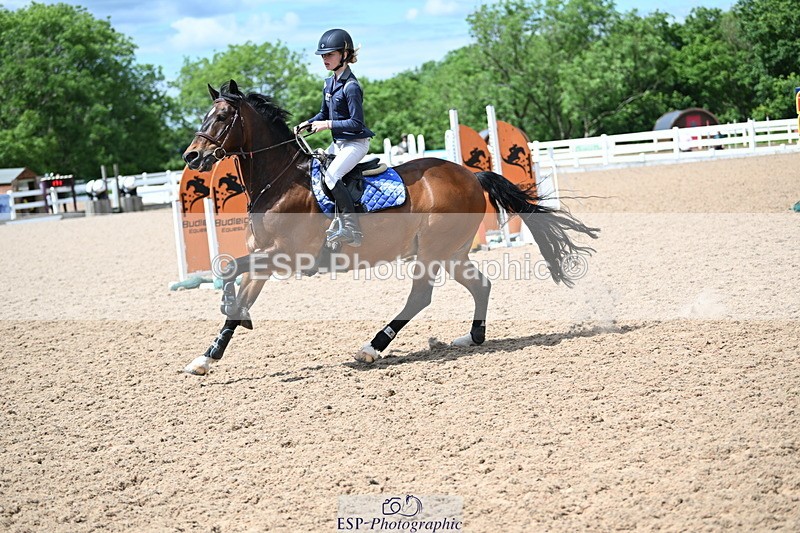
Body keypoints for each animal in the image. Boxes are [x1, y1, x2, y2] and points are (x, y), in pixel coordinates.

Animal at [181, 80, 599, 375]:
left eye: (221, 117)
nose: (192, 157)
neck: (278, 182)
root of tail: (470, 175)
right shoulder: (263, 258)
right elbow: (238, 291)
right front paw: (207, 357)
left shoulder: (286, 256)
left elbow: (227, 269)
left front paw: (227, 312)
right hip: (451, 253)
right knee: (481, 285)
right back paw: (472, 337)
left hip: (432, 251)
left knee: (420, 297)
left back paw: (372, 348)